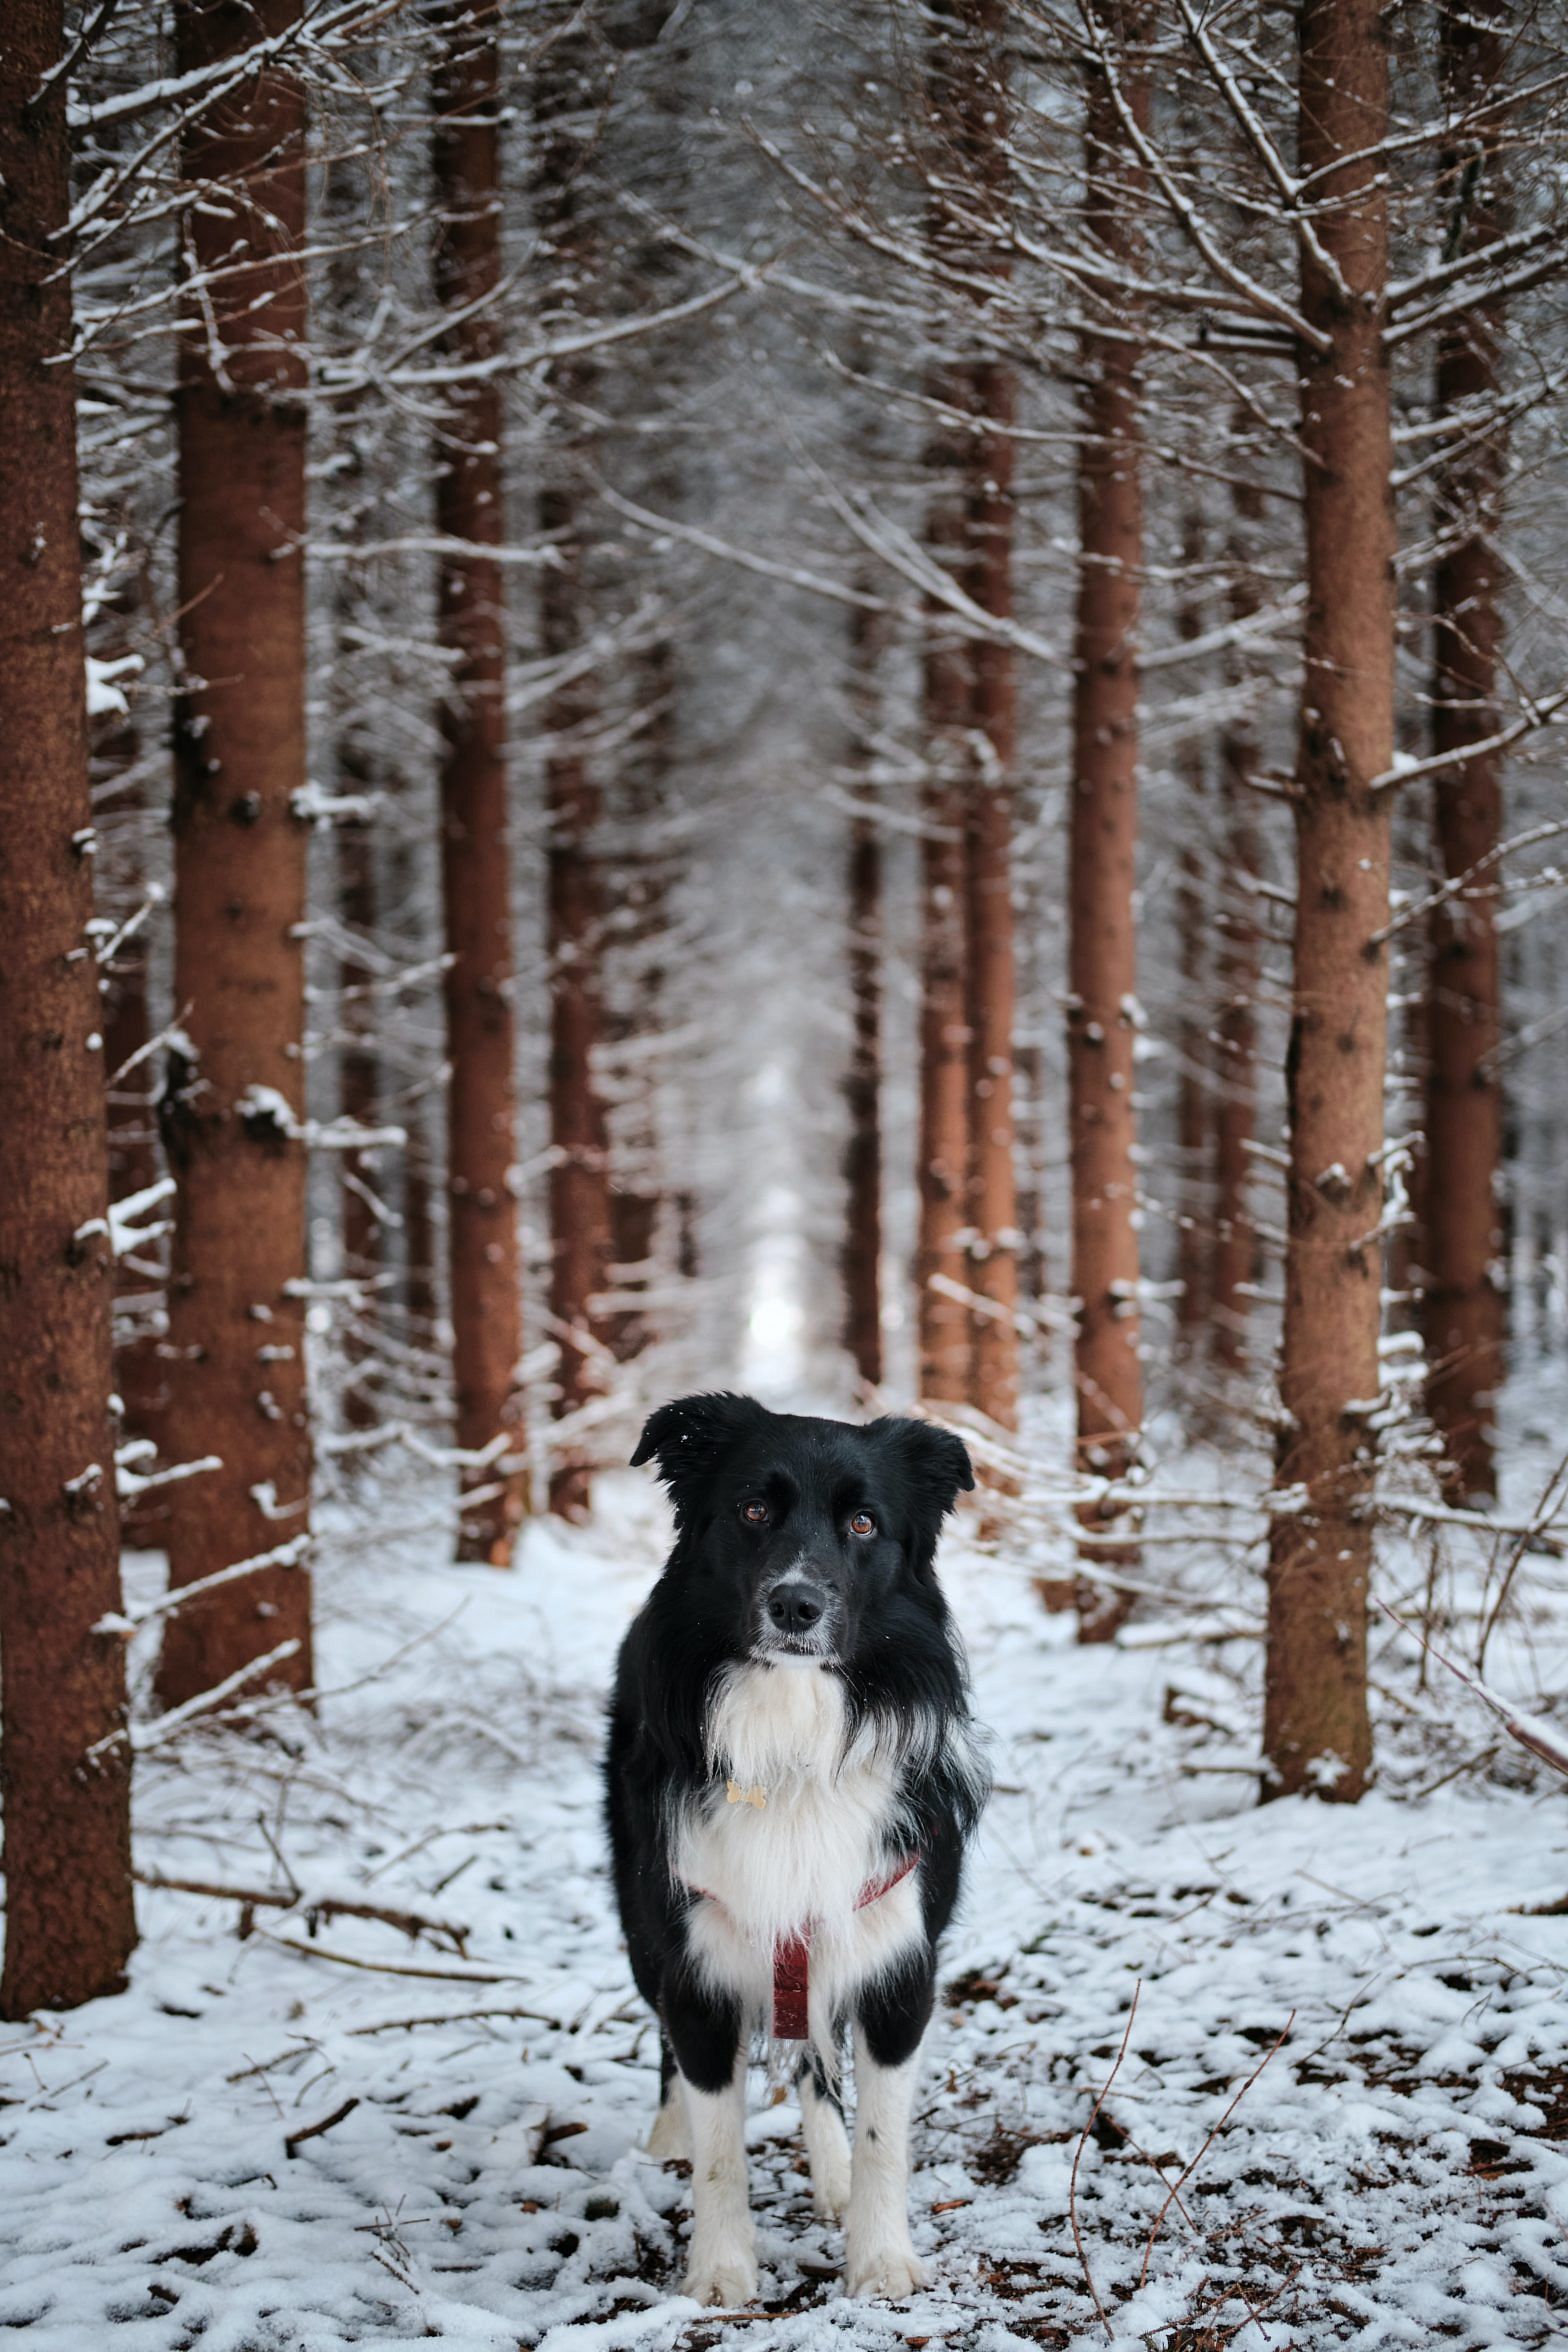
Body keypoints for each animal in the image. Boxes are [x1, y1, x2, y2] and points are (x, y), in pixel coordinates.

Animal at [606, 1382, 987, 2304]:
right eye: (752, 1510)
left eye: (864, 1524)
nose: (795, 1605)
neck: (792, 1726)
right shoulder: (696, 1962)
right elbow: (719, 2148)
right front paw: (719, 2271)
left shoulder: (897, 1962)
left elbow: (885, 2135)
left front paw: (879, 2258)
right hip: (642, 1927)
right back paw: (666, 2137)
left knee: (815, 2057)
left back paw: (834, 2172)